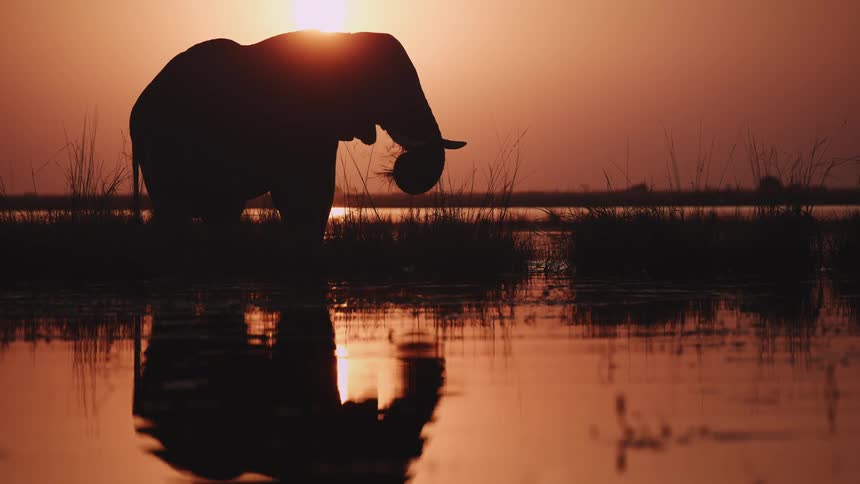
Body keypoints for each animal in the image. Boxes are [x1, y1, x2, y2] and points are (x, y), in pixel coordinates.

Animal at [129, 30, 466, 243]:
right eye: (388, 85)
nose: (401, 162)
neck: (344, 39)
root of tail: (137, 111)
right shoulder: (299, 115)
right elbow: (305, 192)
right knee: (179, 212)